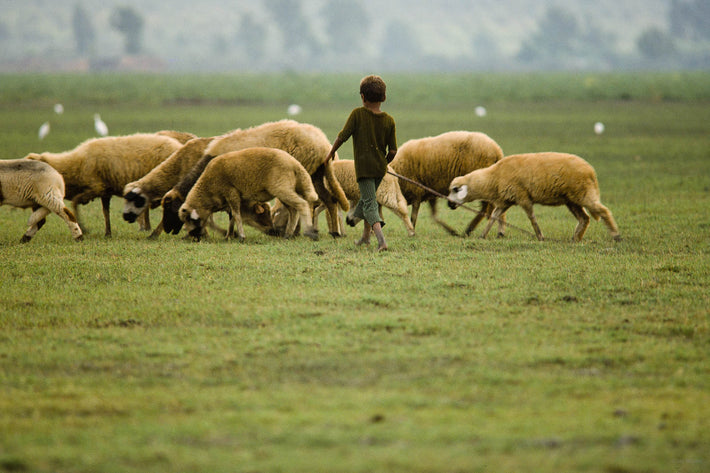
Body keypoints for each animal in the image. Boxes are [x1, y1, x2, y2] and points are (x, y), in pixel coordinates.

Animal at [26, 132, 184, 236]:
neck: (73, 165)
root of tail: (178, 145)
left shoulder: (96, 187)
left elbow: (75, 202)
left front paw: (83, 227)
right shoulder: (105, 191)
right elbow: (105, 212)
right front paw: (108, 232)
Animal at [181, 148, 320, 242]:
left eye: (189, 219)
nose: (194, 238)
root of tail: (296, 164)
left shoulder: (231, 192)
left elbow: (237, 215)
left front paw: (241, 237)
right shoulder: (234, 199)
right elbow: (232, 217)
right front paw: (229, 236)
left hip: (282, 188)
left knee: (302, 204)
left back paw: (310, 232)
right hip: (284, 190)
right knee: (293, 211)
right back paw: (288, 235)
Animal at [450, 152, 624, 242]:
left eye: (455, 189)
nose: (449, 205)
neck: (493, 177)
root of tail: (591, 171)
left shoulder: (523, 197)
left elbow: (531, 217)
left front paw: (540, 236)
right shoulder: (505, 201)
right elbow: (493, 217)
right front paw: (483, 235)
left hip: (583, 194)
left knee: (603, 211)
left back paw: (616, 235)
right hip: (572, 200)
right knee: (584, 218)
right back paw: (575, 238)